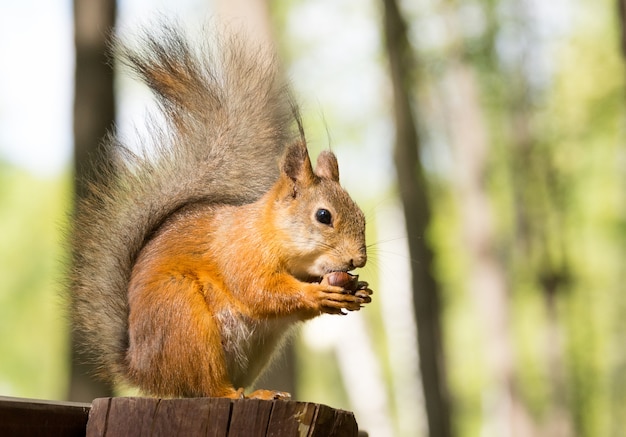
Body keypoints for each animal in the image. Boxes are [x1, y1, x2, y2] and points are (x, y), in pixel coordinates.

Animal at [69, 23, 370, 398]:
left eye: (361, 215)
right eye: (323, 216)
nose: (359, 260)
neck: (269, 232)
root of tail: (142, 369)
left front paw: (357, 290)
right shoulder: (239, 254)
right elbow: (260, 291)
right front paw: (317, 293)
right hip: (184, 319)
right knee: (208, 387)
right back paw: (247, 394)